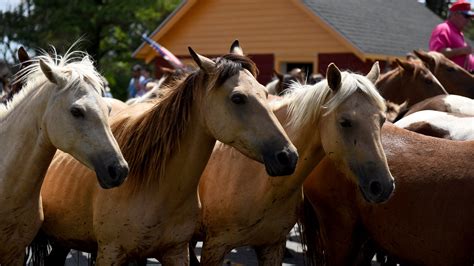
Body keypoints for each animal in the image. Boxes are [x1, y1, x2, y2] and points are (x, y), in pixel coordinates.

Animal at [37, 40, 298, 264]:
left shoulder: (176, 251)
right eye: (238, 98)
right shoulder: (111, 252)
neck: (153, 186)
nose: (288, 156)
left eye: (266, 93)